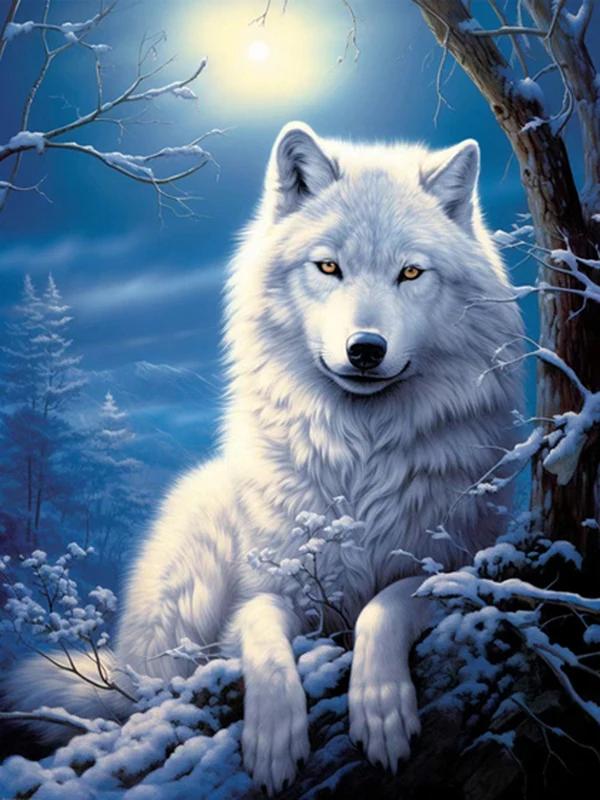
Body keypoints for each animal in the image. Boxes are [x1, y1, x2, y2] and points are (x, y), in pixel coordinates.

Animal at [6, 122, 523, 794]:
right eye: (328, 266)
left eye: (411, 273)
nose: (365, 349)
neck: (359, 461)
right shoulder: (268, 588)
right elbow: (262, 641)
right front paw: (274, 741)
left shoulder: (460, 563)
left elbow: (385, 605)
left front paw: (381, 708)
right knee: (149, 689)